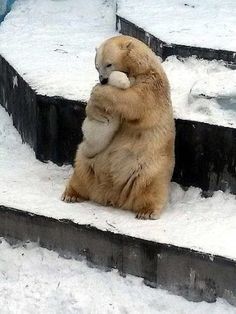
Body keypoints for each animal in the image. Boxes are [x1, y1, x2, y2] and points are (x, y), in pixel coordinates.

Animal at [61, 35, 176, 220]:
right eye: (96, 66)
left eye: (109, 64)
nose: (102, 80)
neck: (138, 67)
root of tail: (113, 196)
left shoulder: (151, 84)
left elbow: (135, 100)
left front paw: (99, 92)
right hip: (89, 162)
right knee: (81, 169)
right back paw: (71, 194)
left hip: (152, 167)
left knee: (151, 186)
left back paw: (147, 212)